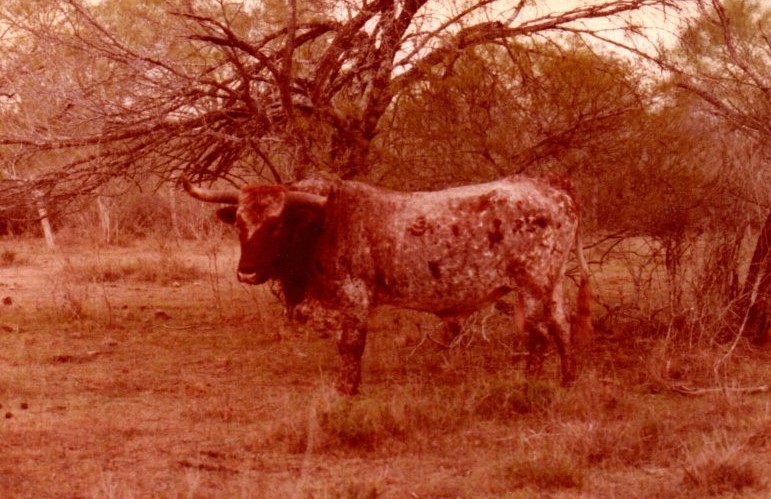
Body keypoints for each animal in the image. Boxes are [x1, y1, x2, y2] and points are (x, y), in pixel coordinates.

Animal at [182, 175, 591, 395]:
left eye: (276, 225)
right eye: (239, 223)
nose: (247, 272)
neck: (323, 224)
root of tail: (554, 189)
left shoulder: (354, 296)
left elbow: (351, 346)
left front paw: (346, 390)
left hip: (533, 283)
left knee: (538, 334)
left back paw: (530, 387)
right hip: (552, 283)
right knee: (562, 326)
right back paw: (568, 381)